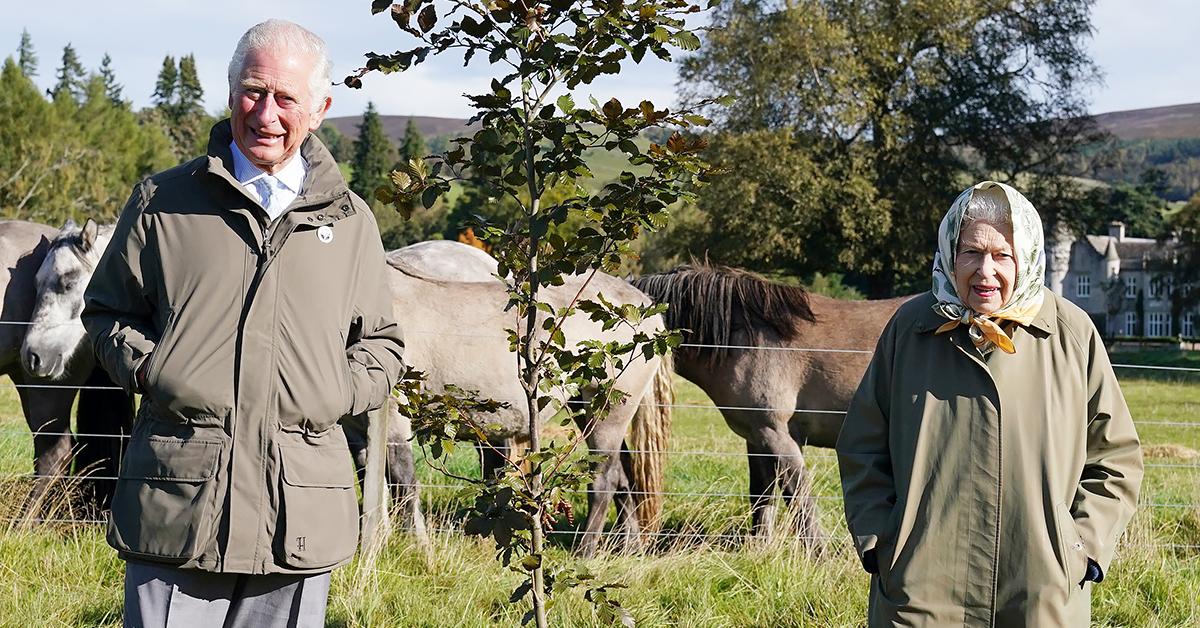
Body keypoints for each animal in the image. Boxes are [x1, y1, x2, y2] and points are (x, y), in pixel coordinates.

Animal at [633, 262, 902, 547]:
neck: (744, 338)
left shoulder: (776, 434)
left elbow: (798, 497)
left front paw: (817, 551)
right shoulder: (757, 438)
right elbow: (762, 497)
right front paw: (761, 547)